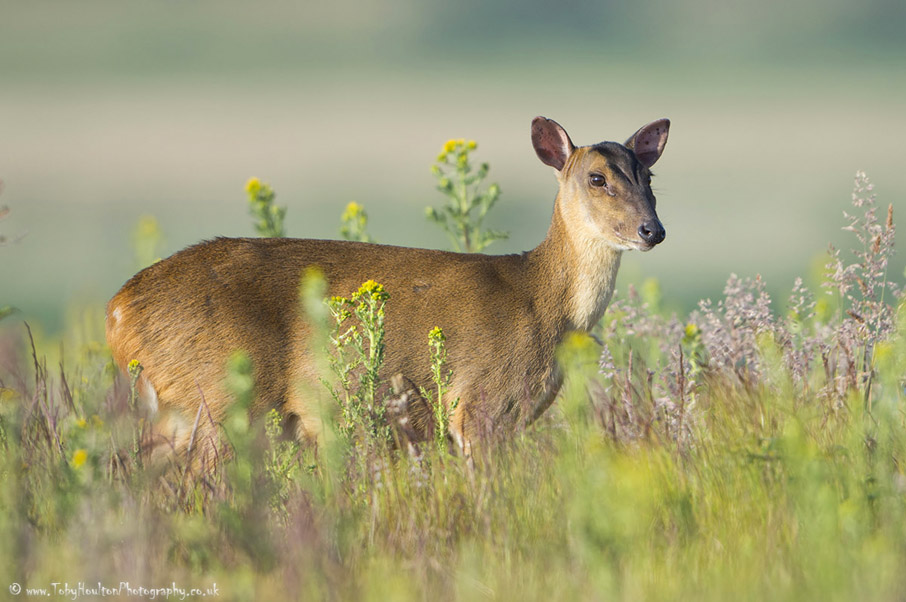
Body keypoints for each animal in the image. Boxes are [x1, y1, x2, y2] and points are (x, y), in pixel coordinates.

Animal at [107, 118, 672, 460]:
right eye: (597, 178)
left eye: (649, 177)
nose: (653, 230)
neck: (542, 303)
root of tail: (118, 312)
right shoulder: (477, 404)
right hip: (224, 397)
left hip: (177, 410)